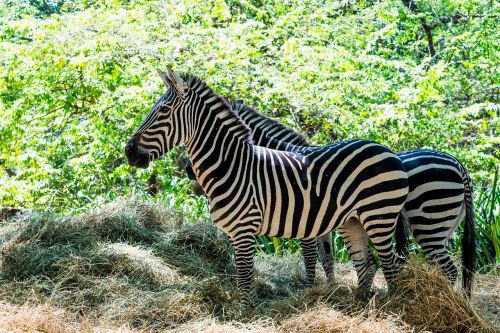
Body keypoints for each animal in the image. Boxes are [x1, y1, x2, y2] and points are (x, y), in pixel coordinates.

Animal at [125, 68, 410, 304]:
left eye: (162, 112)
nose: (128, 151)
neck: (232, 165)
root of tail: (386, 149)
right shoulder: (240, 232)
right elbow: (245, 275)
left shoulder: (252, 228)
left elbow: (249, 275)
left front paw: (249, 313)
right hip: (353, 221)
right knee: (367, 265)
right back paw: (361, 304)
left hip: (379, 215)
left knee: (390, 264)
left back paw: (394, 306)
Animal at [186, 100, 474, 296]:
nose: (189, 172)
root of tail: (458, 164)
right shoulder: (322, 222)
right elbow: (327, 258)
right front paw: (331, 287)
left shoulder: (305, 219)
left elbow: (310, 256)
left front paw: (310, 288)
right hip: (444, 226)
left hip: (428, 220)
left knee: (448, 269)